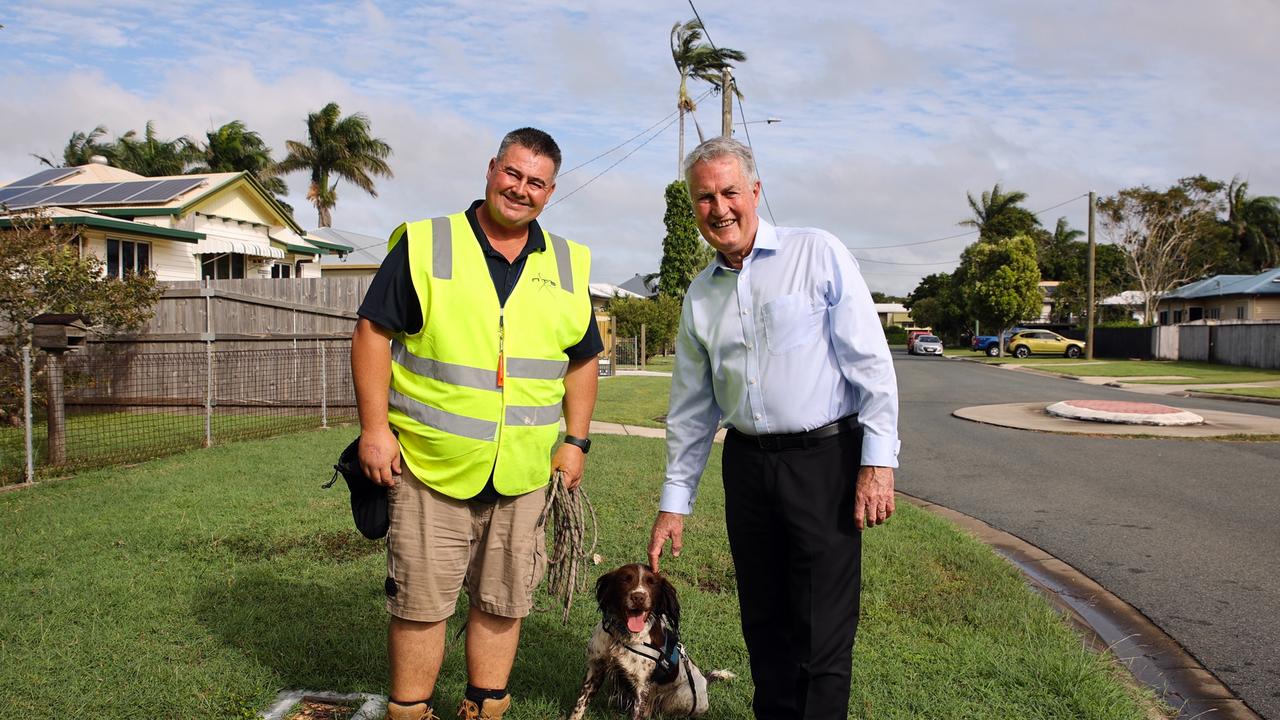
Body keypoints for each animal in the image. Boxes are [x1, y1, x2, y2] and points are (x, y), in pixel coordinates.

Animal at [568, 563, 737, 712]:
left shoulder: (642, 688)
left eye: (651, 582)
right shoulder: (595, 669)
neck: (621, 637)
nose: (638, 597)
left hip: (683, 695)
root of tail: (705, 681)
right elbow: (579, 707)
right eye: (625, 579)